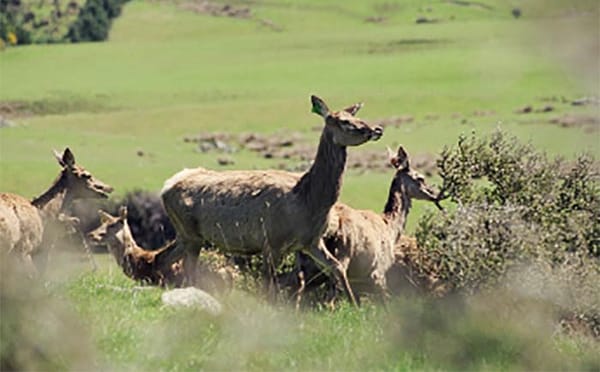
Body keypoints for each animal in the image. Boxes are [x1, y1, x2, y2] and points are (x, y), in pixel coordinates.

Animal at [161, 94, 384, 304]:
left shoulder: (312, 241)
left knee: (162, 258)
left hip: (185, 235)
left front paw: (356, 306)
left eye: (355, 115)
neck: (308, 201)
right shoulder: (273, 241)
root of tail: (166, 187)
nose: (377, 129)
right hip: (190, 233)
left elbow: (337, 267)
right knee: (186, 270)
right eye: (343, 121)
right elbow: (270, 287)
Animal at [284, 145, 442, 306]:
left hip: (306, 263)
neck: (390, 230)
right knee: (328, 299)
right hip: (340, 254)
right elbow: (386, 302)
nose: (434, 194)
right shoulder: (379, 270)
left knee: (292, 287)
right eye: (420, 178)